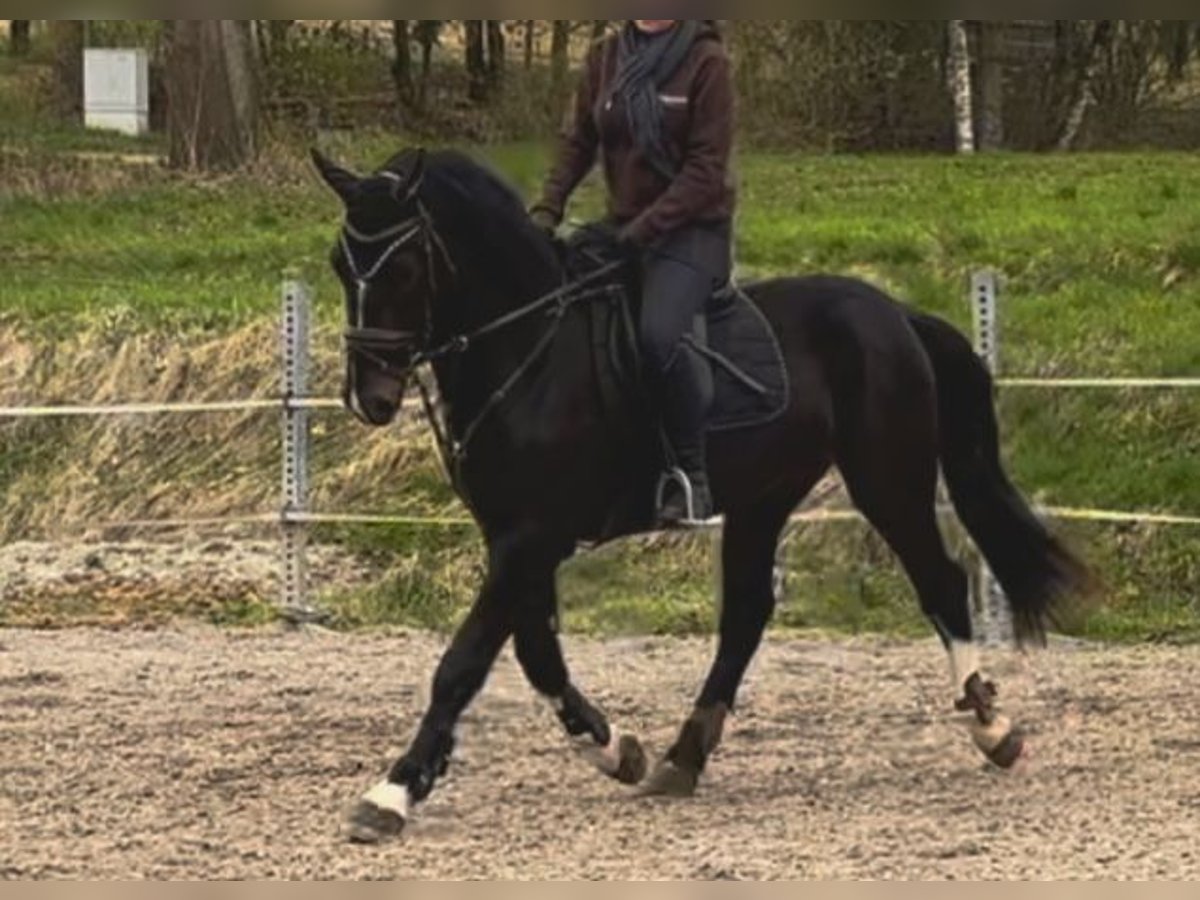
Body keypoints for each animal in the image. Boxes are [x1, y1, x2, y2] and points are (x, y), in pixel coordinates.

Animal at [314, 148, 1094, 844]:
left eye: (405, 267)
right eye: (340, 266)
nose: (371, 398)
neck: (528, 350)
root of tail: (895, 313)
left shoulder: (531, 537)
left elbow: (464, 662)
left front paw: (392, 792)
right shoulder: (515, 537)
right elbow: (537, 656)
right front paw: (616, 749)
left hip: (887, 480)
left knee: (940, 582)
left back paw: (992, 727)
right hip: (764, 496)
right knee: (746, 613)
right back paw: (682, 757)